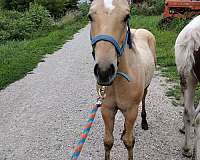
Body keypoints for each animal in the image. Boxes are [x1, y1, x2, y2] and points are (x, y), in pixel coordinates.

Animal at [89, 0, 156, 159]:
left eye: (126, 17)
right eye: (90, 17)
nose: (104, 71)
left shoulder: (131, 110)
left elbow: (129, 142)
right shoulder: (107, 109)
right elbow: (108, 142)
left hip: (145, 88)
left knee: (143, 100)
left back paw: (144, 122)